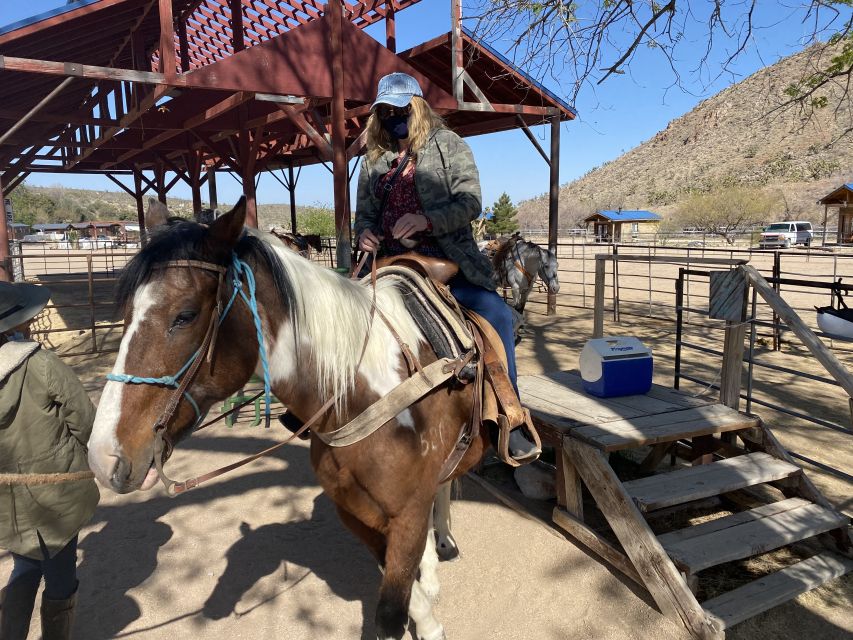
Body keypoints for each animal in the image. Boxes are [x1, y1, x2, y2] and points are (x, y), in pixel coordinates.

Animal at [88, 200, 492, 640]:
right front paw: (427, 603)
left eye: (185, 315)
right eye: (127, 314)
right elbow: (401, 589)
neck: (360, 396)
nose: (104, 457)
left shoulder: (407, 515)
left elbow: (391, 612)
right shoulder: (356, 513)